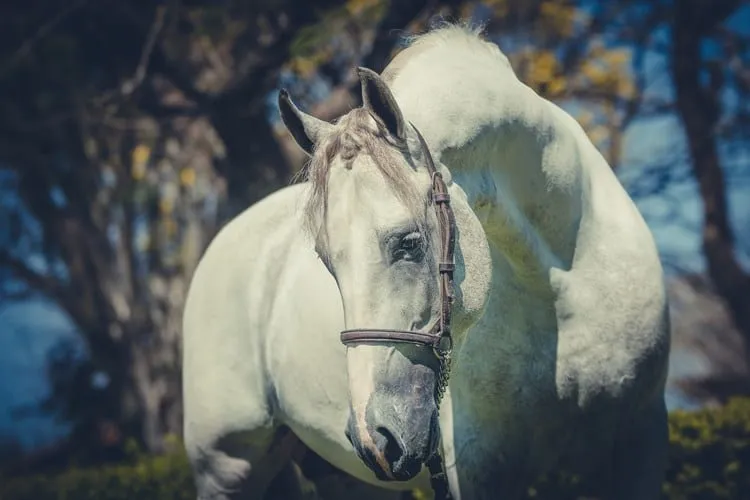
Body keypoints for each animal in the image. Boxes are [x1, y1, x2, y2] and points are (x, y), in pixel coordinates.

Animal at [182, 24, 670, 500]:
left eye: (410, 243)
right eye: (326, 260)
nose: (375, 438)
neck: (564, 285)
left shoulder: (641, 440)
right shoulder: (479, 467)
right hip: (227, 468)